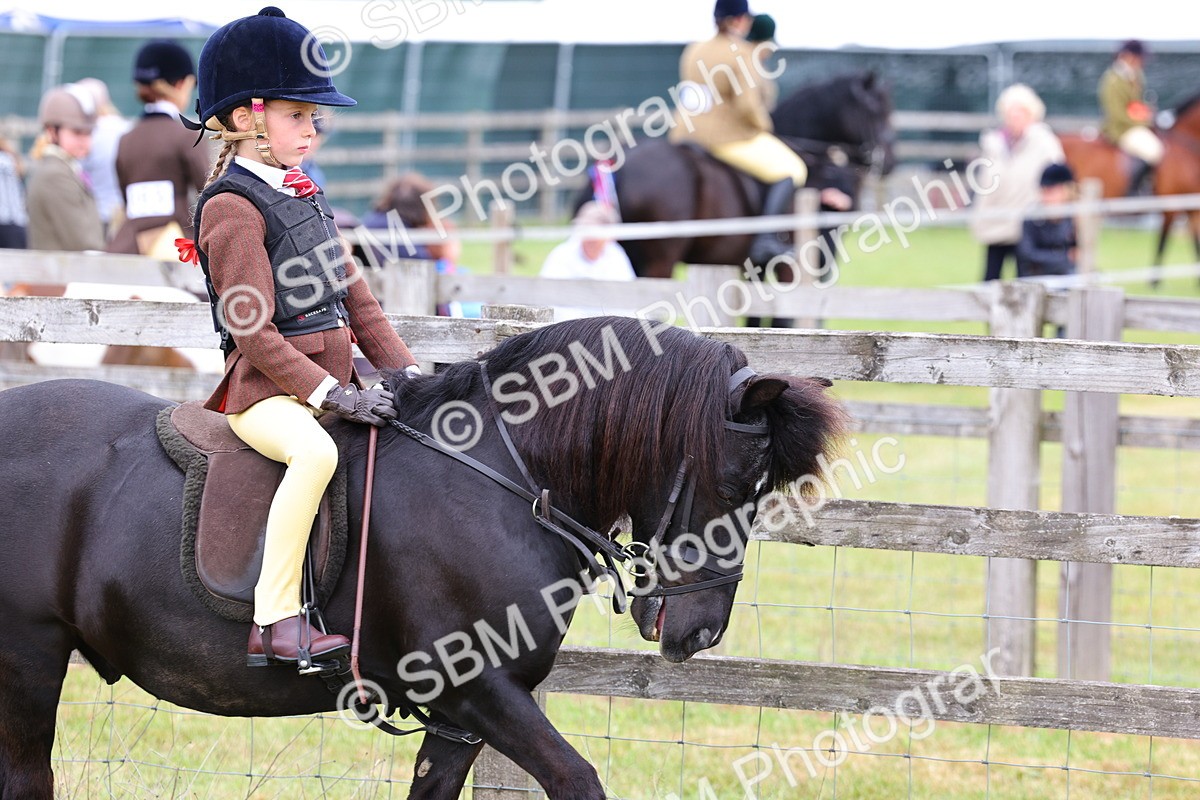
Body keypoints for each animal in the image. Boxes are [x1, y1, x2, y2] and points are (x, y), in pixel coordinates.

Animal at [0, 315, 846, 799]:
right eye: (735, 482)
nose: (701, 632)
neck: (505, 478)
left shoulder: (459, 718)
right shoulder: (480, 690)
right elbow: (577, 781)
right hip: (29, 659)